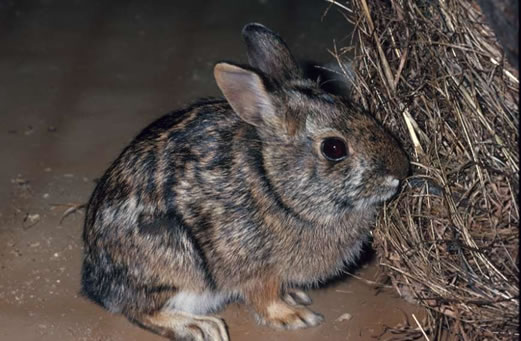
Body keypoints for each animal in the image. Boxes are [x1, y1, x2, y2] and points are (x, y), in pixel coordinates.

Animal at [79, 22, 408, 338]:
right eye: (334, 148)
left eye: (356, 109)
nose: (400, 172)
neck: (274, 185)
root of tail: (96, 282)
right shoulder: (255, 269)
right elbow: (264, 297)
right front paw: (294, 316)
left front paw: (295, 298)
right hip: (177, 264)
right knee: (140, 309)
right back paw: (200, 327)